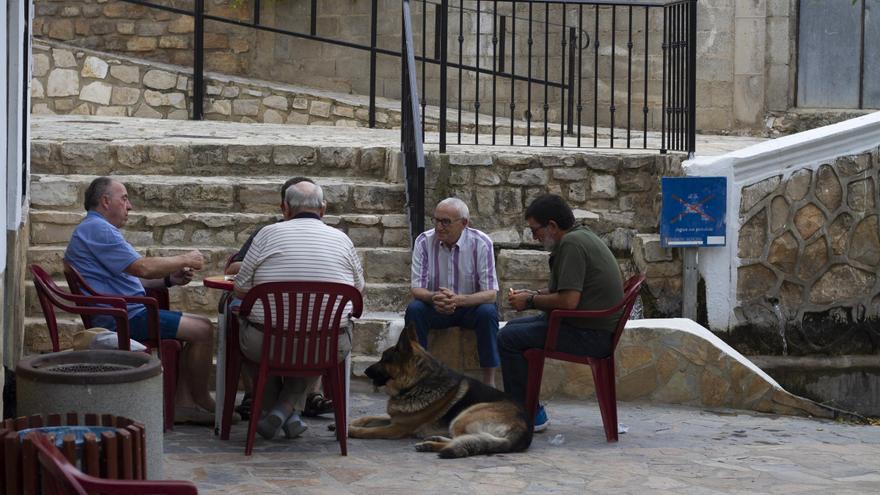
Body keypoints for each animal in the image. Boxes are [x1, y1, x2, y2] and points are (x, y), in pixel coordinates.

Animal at [348, 324, 532, 460]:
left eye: (384, 359)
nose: (364, 371)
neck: (416, 383)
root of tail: (523, 428)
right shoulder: (395, 418)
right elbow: (368, 418)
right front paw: (348, 422)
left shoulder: (397, 428)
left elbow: (369, 431)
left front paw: (351, 431)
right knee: (466, 439)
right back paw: (434, 441)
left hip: (464, 416)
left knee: (464, 440)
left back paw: (432, 445)